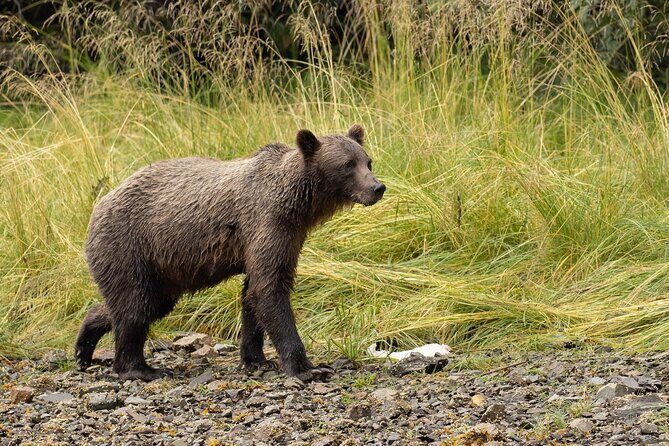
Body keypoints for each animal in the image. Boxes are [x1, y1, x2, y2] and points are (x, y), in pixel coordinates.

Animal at [74, 124, 386, 382]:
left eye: (368, 161)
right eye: (347, 165)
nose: (377, 187)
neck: (298, 204)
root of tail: (100, 204)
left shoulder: (286, 235)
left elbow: (253, 294)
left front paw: (256, 359)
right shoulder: (267, 223)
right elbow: (270, 289)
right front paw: (308, 368)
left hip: (161, 269)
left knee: (142, 304)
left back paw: (84, 346)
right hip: (129, 245)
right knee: (135, 304)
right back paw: (140, 369)